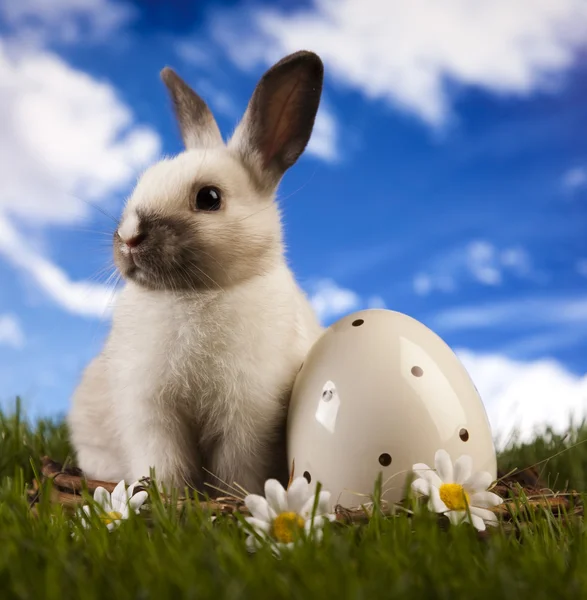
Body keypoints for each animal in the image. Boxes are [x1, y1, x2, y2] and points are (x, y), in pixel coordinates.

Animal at [70, 51, 326, 494]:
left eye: (209, 198)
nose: (129, 237)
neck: (193, 294)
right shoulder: (151, 412)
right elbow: (164, 461)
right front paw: (165, 495)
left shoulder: (249, 417)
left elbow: (236, 470)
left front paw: (230, 498)